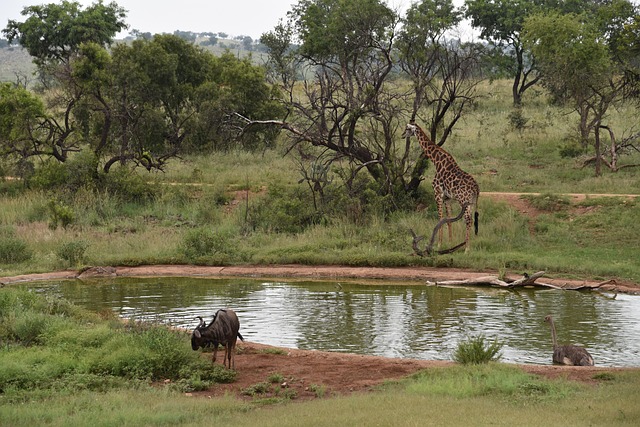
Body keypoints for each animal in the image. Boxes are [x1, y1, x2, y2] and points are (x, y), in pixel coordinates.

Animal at [402, 122, 479, 251]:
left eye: (408, 128)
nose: (402, 135)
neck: (436, 161)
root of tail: (476, 188)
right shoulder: (447, 198)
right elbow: (448, 220)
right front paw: (450, 242)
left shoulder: (438, 193)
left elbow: (440, 218)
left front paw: (438, 244)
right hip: (472, 202)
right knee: (472, 219)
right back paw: (469, 244)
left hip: (463, 200)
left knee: (468, 219)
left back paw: (467, 249)